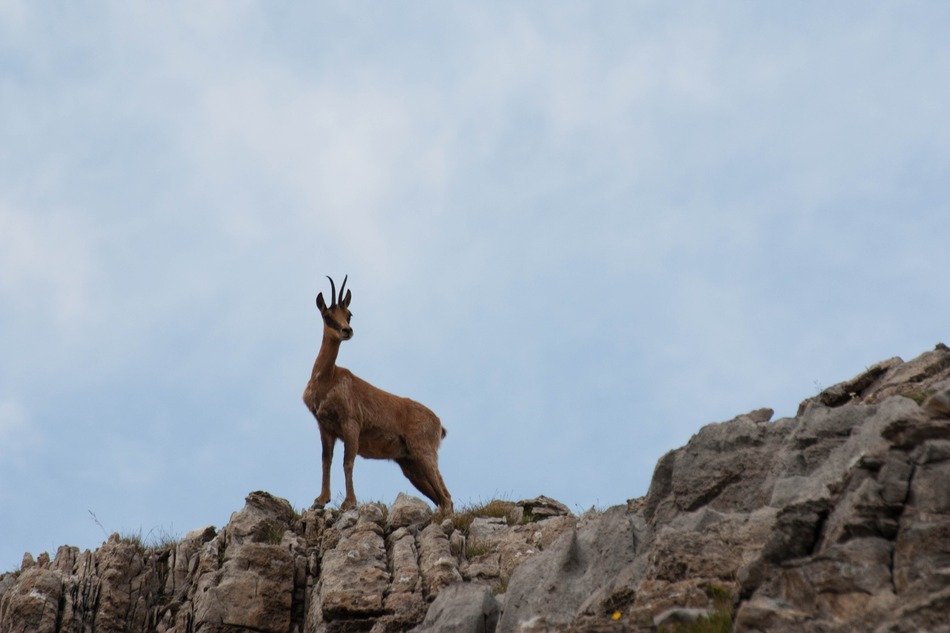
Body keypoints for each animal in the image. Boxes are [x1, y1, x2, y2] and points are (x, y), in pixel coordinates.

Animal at [302, 275, 453, 513]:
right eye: (328, 316)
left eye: (349, 314)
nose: (347, 330)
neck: (328, 379)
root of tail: (438, 424)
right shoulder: (325, 427)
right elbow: (326, 460)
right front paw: (321, 499)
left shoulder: (351, 424)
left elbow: (348, 462)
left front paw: (349, 502)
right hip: (410, 466)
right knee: (443, 497)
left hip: (424, 453)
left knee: (446, 498)